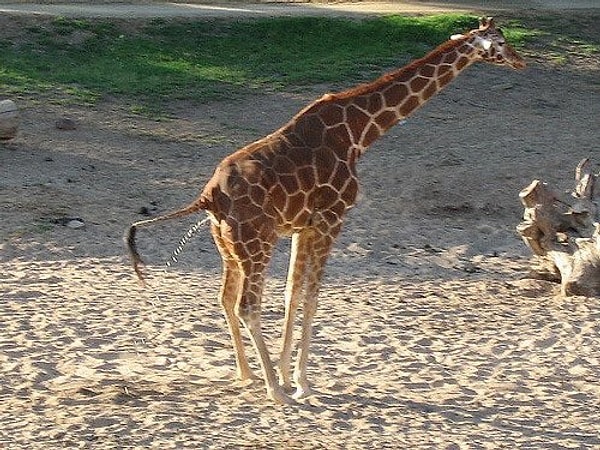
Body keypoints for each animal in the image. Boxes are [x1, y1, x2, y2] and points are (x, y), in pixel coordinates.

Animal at [125, 18, 524, 404]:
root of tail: (209, 195)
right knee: (247, 305)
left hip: (228, 247)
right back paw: (272, 391)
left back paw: (249, 375)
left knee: (224, 298)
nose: (521, 61)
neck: (360, 133)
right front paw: (300, 384)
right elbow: (313, 297)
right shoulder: (333, 218)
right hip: (257, 244)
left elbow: (292, 294)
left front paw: (289, 377)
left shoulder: (304, 226)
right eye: (502, 42)